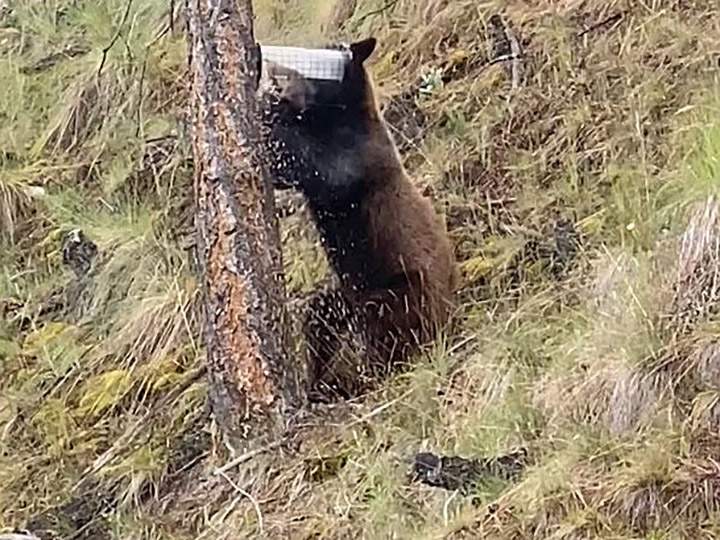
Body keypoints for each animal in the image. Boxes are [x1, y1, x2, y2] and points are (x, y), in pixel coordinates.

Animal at [259, 38, 459, 400]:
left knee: (383, 330)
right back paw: (317, 382)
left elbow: (318, 167)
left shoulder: (359, 153)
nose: (283, 78)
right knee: (319, 319)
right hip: (346, 294)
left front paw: (272, 116)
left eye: (313, 70)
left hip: (398, 289)